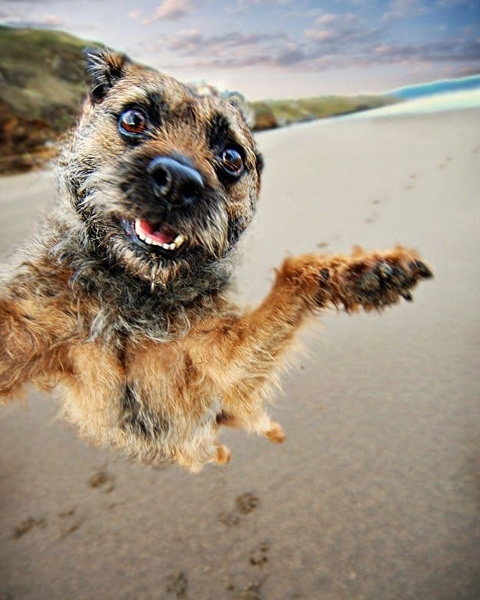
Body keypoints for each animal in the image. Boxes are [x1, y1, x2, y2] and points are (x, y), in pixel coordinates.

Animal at [0, 49, 432, 472]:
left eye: (231, 157)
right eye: (133, 119)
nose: (177, 181)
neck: (132, 292)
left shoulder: (222, 363)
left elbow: (292, 276)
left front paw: (370, 272)